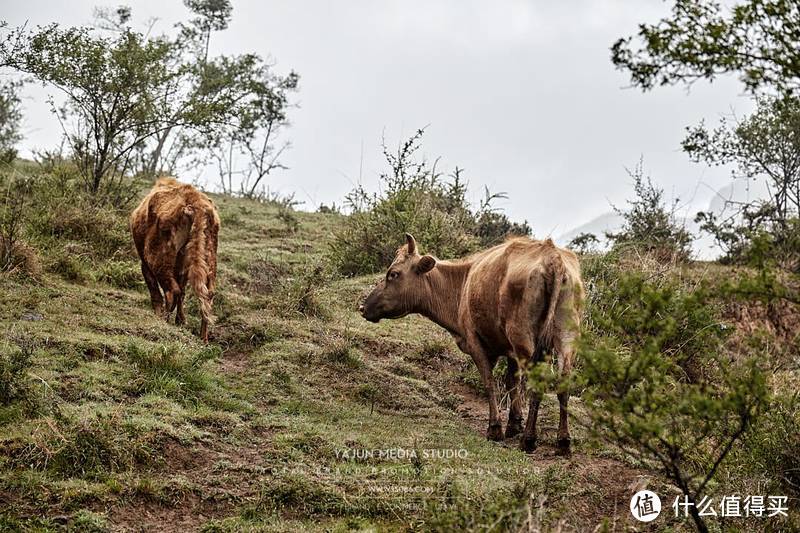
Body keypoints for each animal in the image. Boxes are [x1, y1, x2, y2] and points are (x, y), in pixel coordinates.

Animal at [131, 175, 220, 340]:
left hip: (158, 257)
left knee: (172, 290)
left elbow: (154, 290)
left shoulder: (144, 263)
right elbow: (183, 290)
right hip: (210, 256)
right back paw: (203, 338)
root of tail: (194, 199)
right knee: (207, 294)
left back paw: (163, 320)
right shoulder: (182, 267)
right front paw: (181, 321)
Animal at [360, 233, 584, 454]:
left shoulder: (476, 342)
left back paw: (528, 440)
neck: (463, 284)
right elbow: (512, 382)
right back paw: (563, 441)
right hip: (566, 337)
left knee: (538, 381)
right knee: (564, 381)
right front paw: (514, 424)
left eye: (393, 274)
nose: (362, 307)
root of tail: (552, 255)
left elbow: (490, 382)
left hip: (523, 337)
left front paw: (495, 429)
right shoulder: (510, 349)